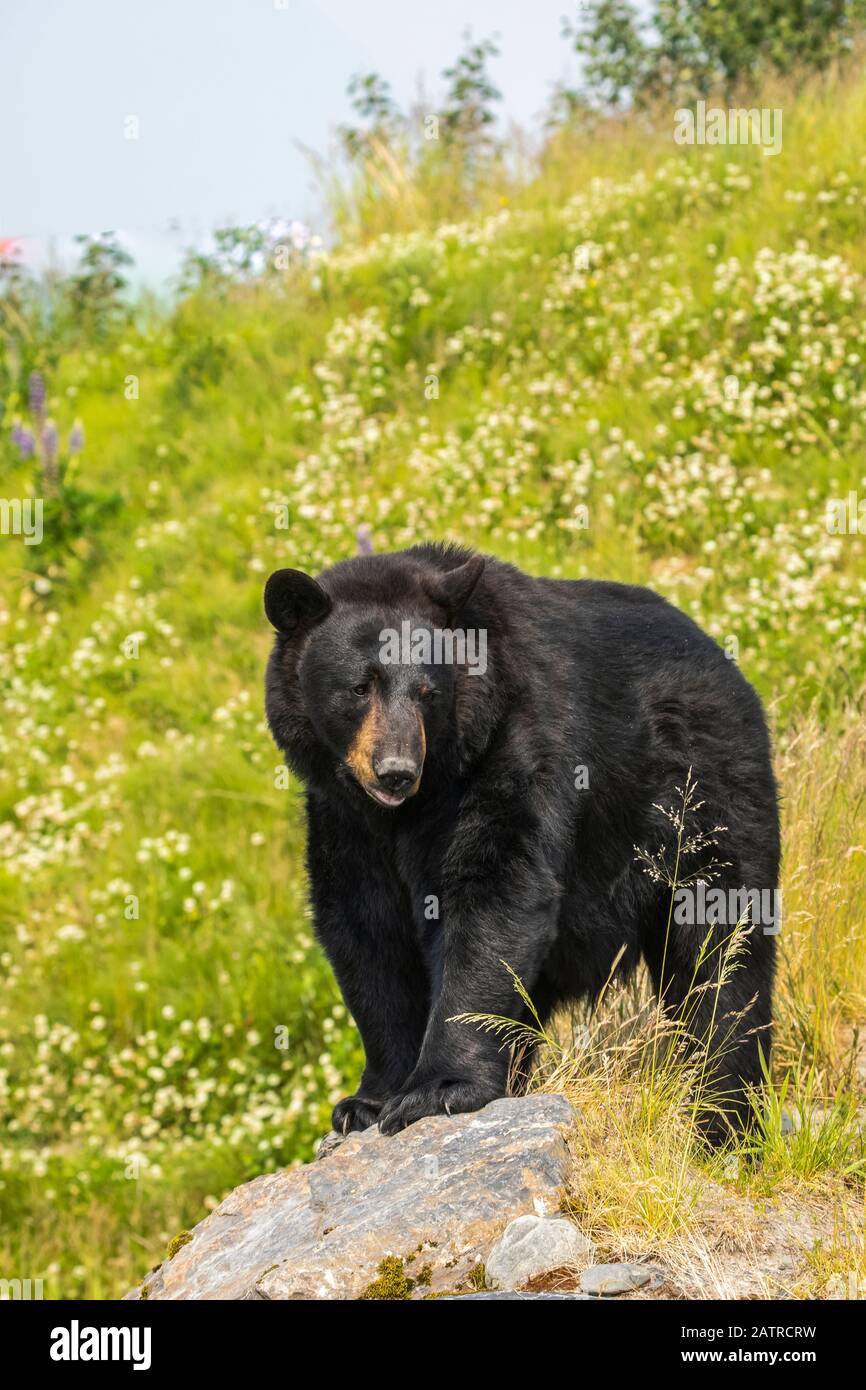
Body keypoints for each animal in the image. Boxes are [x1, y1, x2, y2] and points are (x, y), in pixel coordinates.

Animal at [264, 542, 778, 1139]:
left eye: (427, 693)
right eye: (359, 687)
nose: (396, 772)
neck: (410, 807)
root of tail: (725, 663)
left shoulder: (512, 748)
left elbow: (496, 891)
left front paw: (438, 1089)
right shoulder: (343, 822)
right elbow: (365, 930)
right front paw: (367, 1101)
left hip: (702, 802)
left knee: (720, 954)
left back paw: (721, 1113)